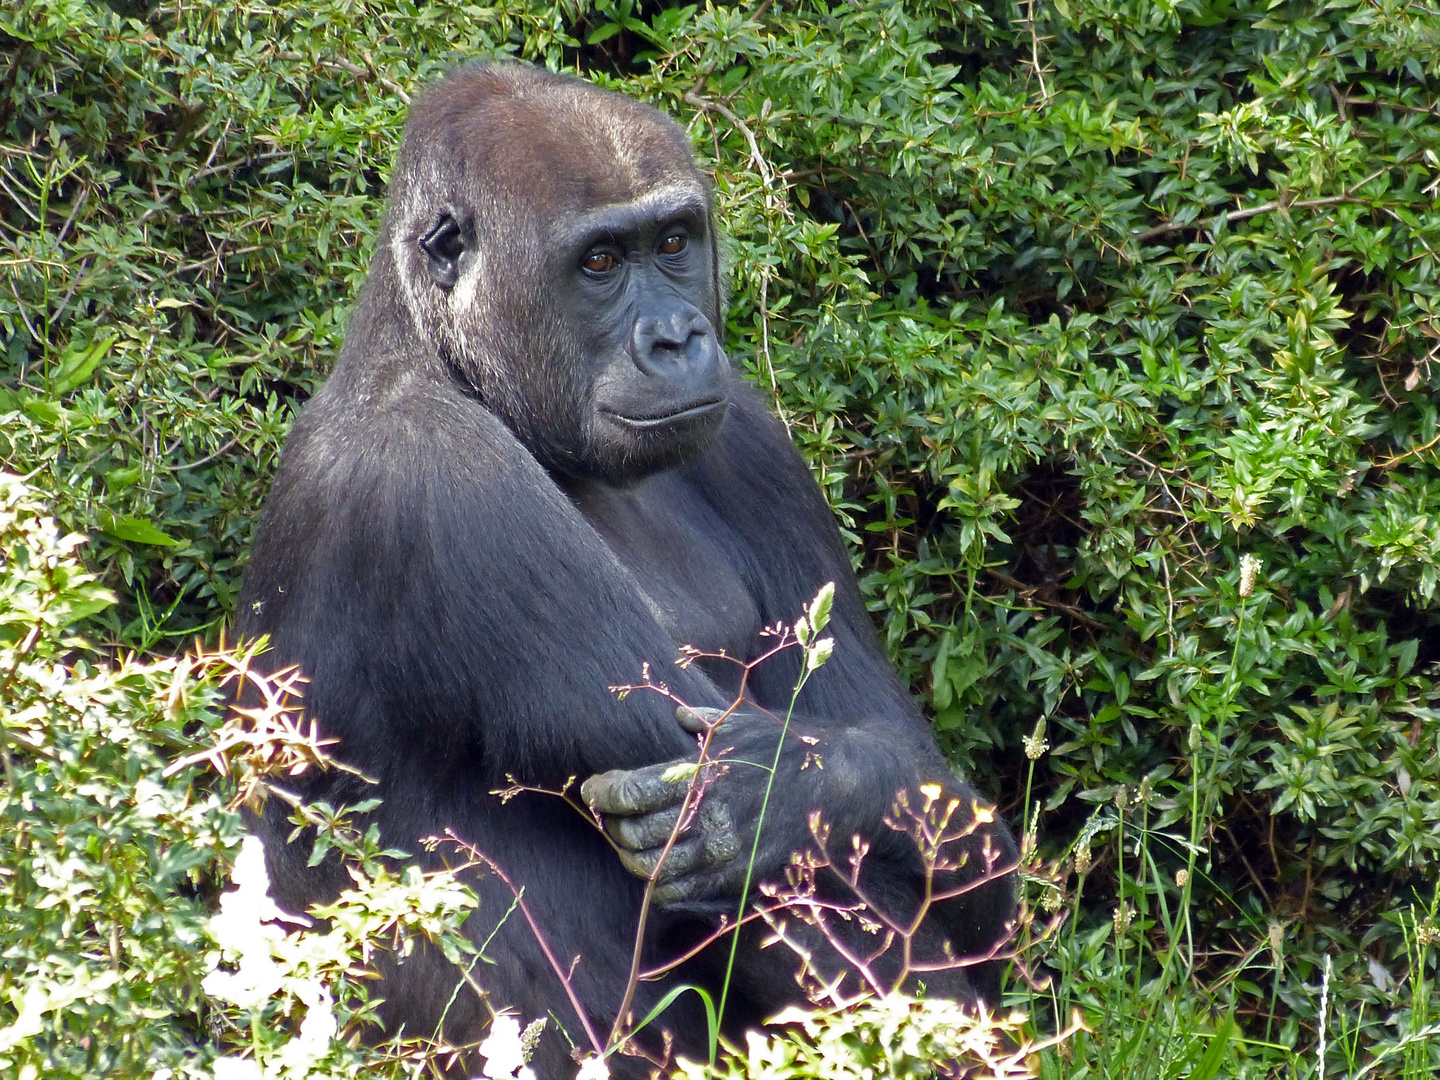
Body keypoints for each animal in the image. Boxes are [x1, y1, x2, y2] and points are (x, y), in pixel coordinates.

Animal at [239, 61, 1013, 1080]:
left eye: (675, 242)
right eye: (600, 263)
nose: (677, 339)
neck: (434, 356)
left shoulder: (757, 444)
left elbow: (923, 795)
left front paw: (790, 790)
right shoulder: (441, 479)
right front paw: (760, 805)